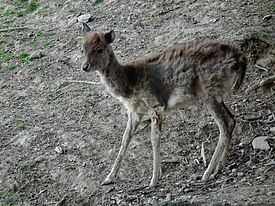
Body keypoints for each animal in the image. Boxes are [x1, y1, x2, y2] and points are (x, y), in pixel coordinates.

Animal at [81, 22, 249, 188]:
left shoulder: (155, 105)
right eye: (82, 49)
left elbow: (154, 140)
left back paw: (207, 173)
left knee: (224, 126)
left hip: (208, 93)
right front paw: (108, 178)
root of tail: (240, 58)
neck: (129, 84)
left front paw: (153, 180)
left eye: (99, 49)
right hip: (217, 95)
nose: (84, 67)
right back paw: (220, 167)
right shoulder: (135, 112)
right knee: (232, 120)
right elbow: (125, 138)